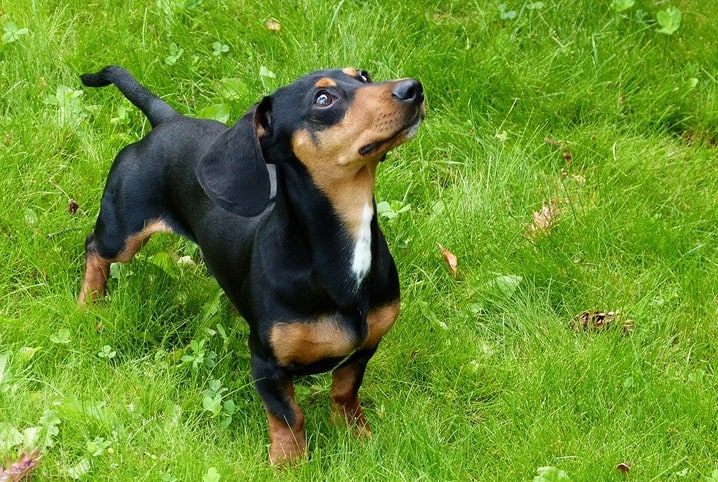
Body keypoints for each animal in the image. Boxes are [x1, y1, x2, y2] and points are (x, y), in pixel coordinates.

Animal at [77, 66, 428, 466]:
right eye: (323, 99)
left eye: (365, 76)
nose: (413, 89)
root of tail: (168, 120)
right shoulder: (266, 365)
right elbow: (288, 416)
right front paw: (289, 463)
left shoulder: (365, 348)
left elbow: (344, 393)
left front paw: (357, 434)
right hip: (122, 231)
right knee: (94, 249)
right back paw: (88, 302)